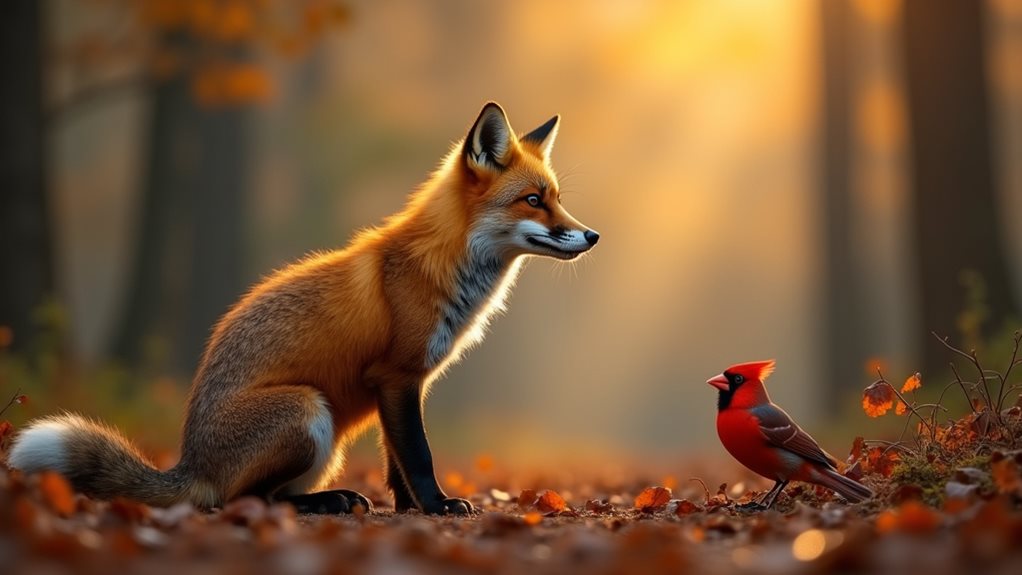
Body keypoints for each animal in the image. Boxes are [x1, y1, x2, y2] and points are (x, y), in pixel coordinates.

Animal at [8, 102, 598, 515]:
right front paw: (438, 507)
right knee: (242, 499)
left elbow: (396, 463)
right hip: (308, 411)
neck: (440, 265)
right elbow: (420, 456)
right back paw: (324, 502)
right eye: (532, 201)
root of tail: (189, 462)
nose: (592, 236)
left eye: (557, 198)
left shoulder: (404, 384)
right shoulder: (396, 377)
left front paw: (409, 510)